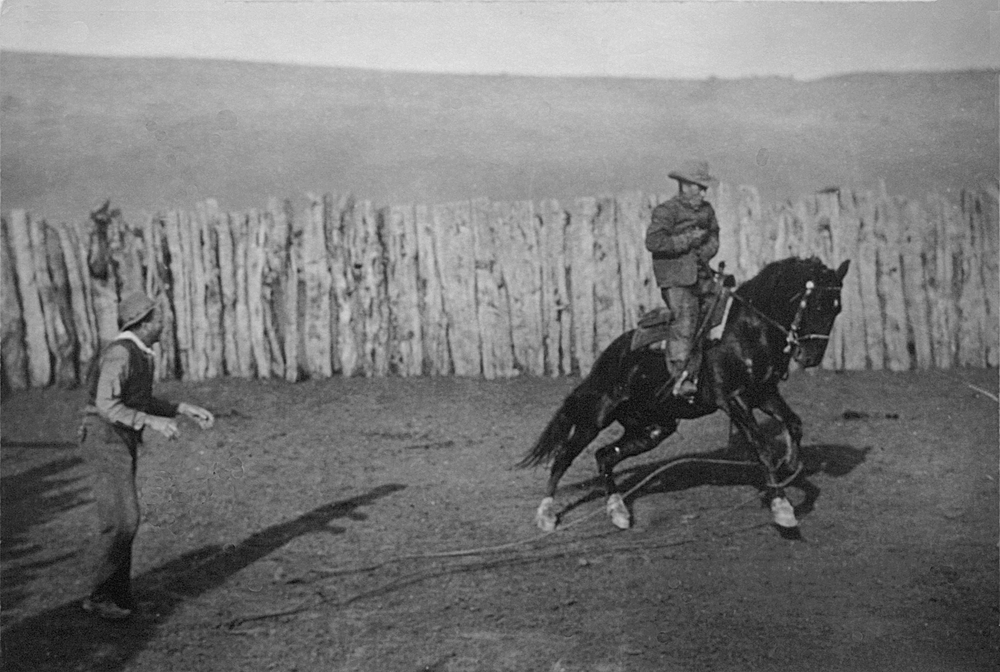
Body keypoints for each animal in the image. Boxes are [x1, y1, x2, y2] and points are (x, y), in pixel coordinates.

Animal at [519, 255, 850, 532]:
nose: (812, 357)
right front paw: (782, 508)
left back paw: (618, 511)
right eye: (816, 305)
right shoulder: (734, 399)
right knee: (564, 456)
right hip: (595, 417)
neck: (748, 330)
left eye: (837, 308)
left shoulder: (764, 393)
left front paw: (791, 465)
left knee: (605, 456)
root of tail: (607, 358)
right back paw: (546, 514)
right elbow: (762, 447)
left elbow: (793, 423)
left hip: (653, 428)